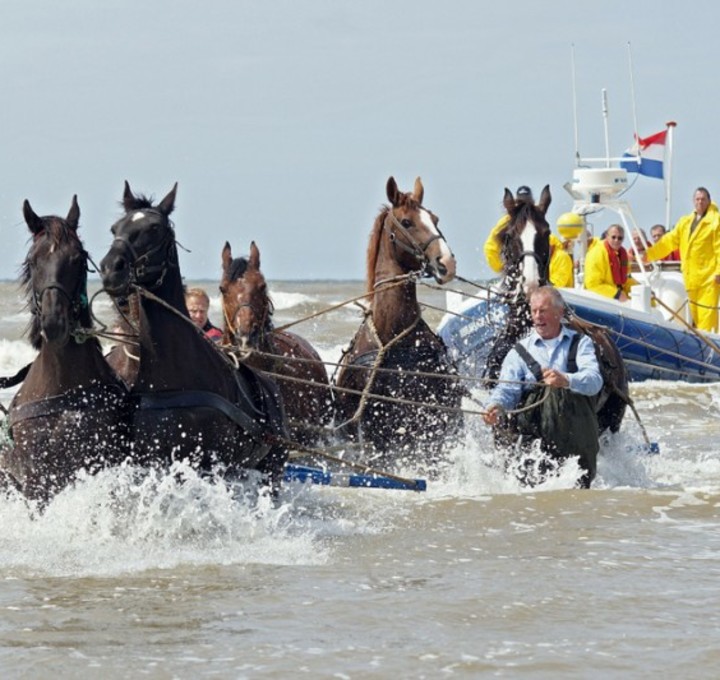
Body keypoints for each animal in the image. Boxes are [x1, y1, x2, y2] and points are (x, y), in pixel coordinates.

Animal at [99, 181, 290, 488]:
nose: (110, 269)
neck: (171, 373)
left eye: (155, 228)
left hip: (272, 469)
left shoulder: (210, 466)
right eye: (115, 228)